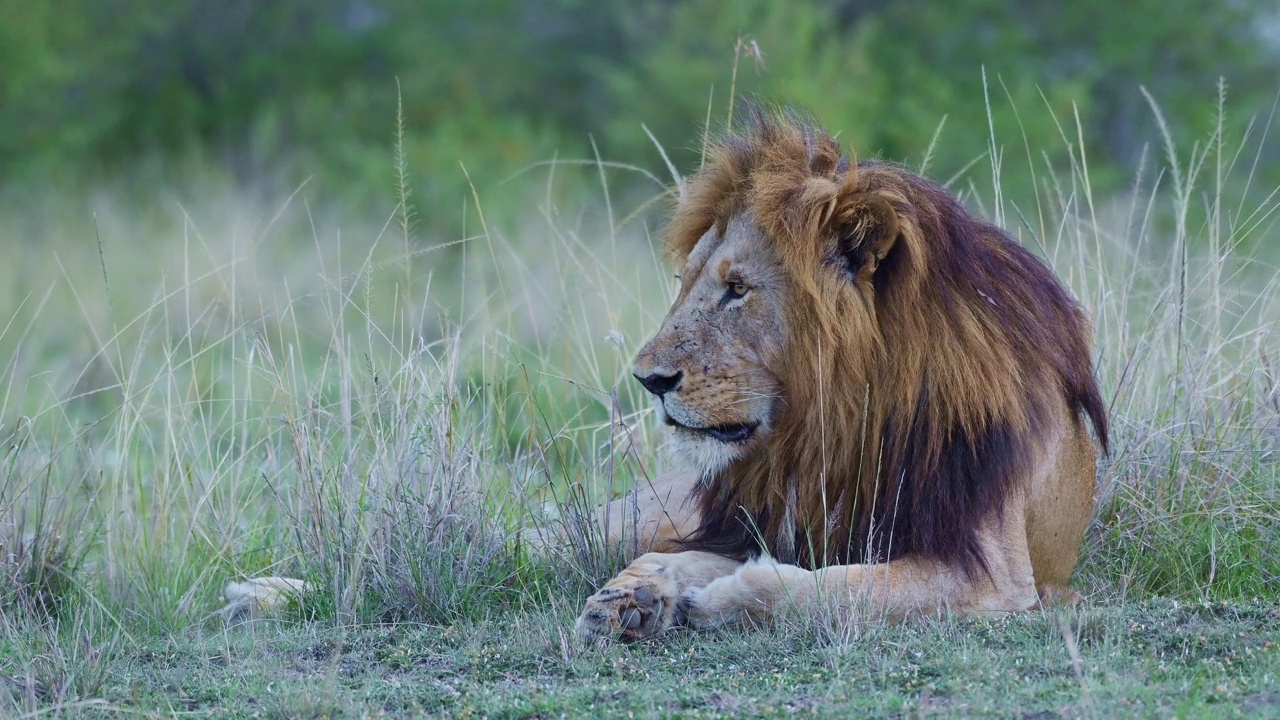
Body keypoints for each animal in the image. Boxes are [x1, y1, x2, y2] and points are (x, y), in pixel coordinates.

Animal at [576, 110, 1105, 638]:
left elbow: (835, 588)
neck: (842, 425)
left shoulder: (995, 576)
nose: (649, 380)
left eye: (737, 288)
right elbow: (712, 560)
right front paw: (634, 591)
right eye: (684, 283)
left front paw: (715, 599)